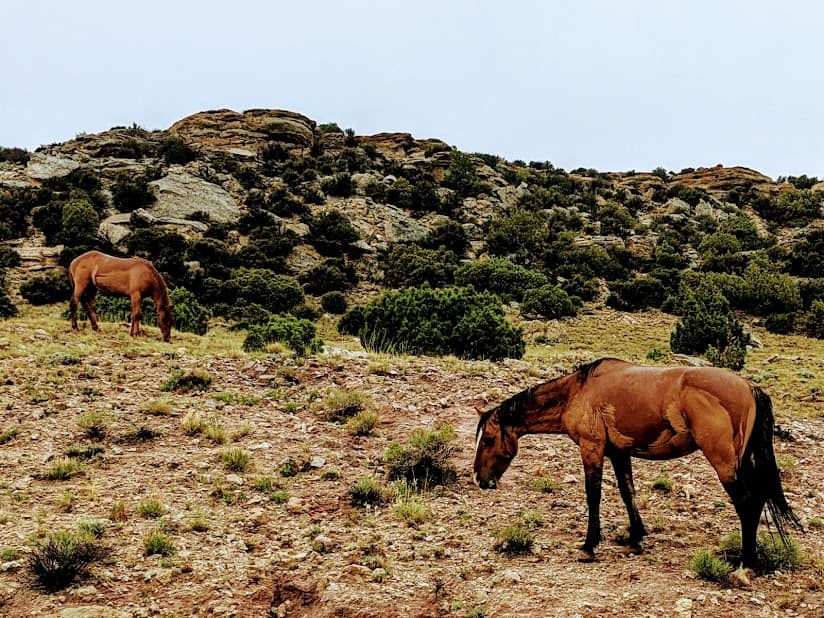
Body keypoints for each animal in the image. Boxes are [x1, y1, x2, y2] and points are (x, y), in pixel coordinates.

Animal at [474, 356, 800, 568]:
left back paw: (745, 565)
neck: (577, 392)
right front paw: (636, 537)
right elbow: (627, 491)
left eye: (488, 439)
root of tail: (749, 387)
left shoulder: (592, 449)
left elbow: (593, 495)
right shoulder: (619, 452)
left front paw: (589, 546)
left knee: (748, 502)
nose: (480, 479)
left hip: (725, 463)